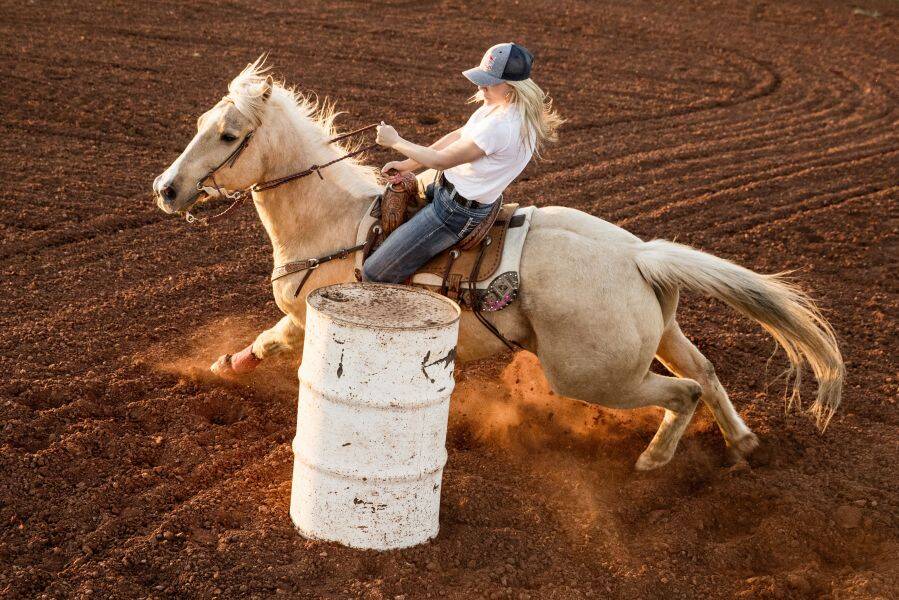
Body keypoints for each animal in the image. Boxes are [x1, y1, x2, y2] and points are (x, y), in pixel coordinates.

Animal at [151, 62, 848, 474]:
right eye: (201, 123)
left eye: (229, 135)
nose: (167, 189)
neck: (333, 221)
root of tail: (636, 256)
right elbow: (264, 341)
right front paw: (223, 366)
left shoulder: (310, 316)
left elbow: (272, 339)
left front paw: (223, 367)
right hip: (660, 336)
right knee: (705, 371)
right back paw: (743, 444)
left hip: (594, 375)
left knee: (685, 392)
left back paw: (652, 462)